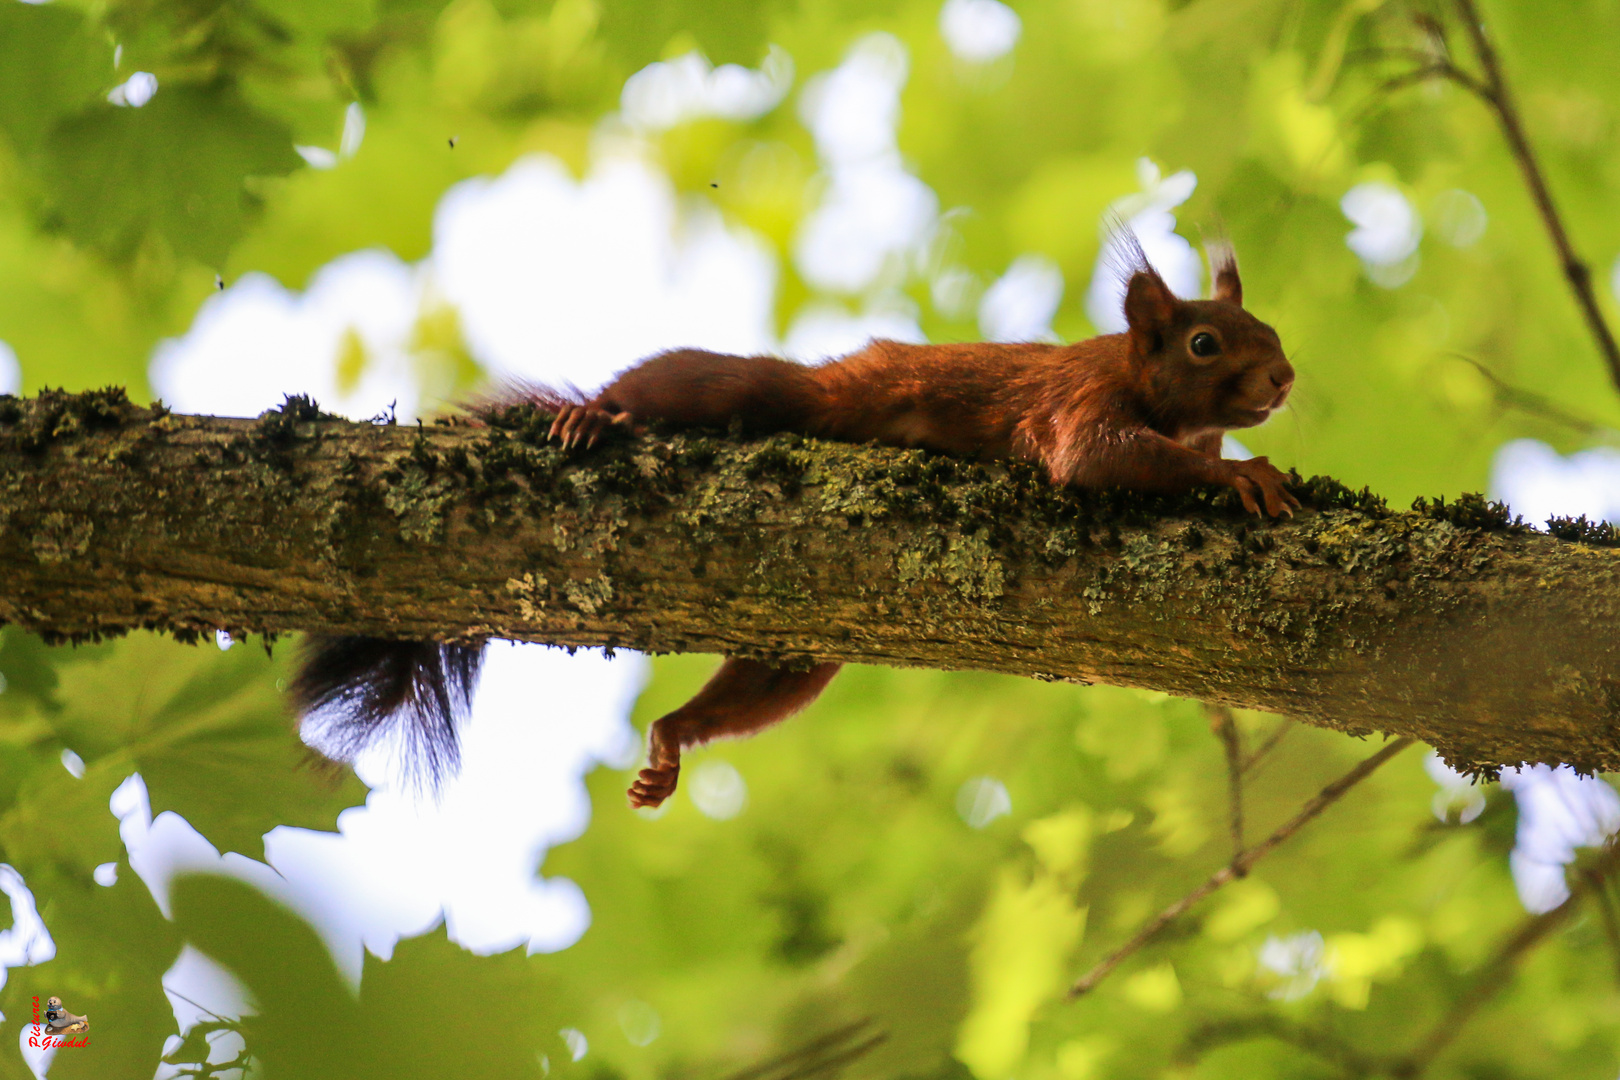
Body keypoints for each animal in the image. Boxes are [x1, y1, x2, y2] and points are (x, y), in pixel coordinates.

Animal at [291, 241, 1296, 806]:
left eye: (1272, 331)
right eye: (1204, 342)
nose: (1284, 378)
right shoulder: (1078, 401)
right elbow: (1091, 455)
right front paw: (1246, 476)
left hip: (799, 651)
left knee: (749, 689)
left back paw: (673, 740)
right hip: (763, 392)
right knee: (665, 388)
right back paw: (590, 417)